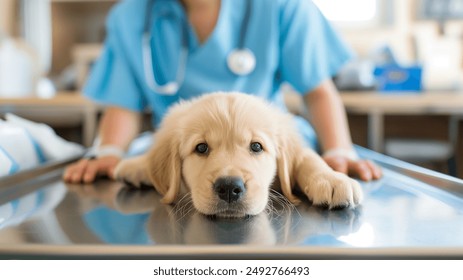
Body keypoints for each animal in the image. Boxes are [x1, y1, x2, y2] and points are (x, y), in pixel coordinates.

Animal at [115, 92, 362, 219]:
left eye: (256, 146)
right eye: (201, 148)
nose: (229, 188)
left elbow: (308, 159)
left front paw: (332, 180)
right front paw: (136, 166)